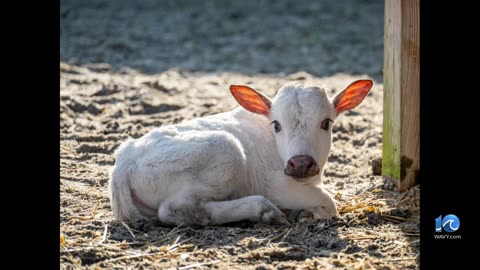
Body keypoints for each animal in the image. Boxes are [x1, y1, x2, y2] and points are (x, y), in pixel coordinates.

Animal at [110, 80, 374, 226]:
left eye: (326, 123)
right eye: (277, 125)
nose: (300, 163)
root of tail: (125, 159)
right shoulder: (276, 185)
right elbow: (328, 204)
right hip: (225, 151)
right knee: (176, 209)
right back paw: (265, 211)